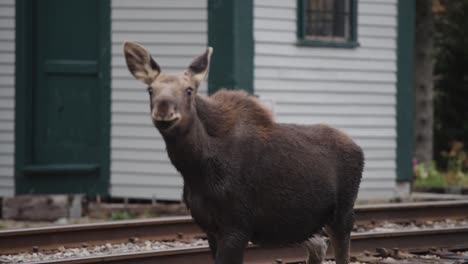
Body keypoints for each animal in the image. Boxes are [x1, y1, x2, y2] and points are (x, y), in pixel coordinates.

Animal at [122, 41, 364, 264]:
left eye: (189, 90)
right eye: (150, 90)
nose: (164, 110)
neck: (195, 170)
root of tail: (359, 149)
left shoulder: (237, 226)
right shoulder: (210, 228)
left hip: (343, 214)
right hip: (309, 224)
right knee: (318, 247)